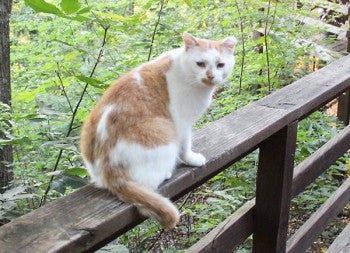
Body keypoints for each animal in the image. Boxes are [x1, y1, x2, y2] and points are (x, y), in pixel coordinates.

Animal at [79, 32, 238, 228]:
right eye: (200, 63)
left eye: (220, 65)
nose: (210, 75)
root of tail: (107, 166)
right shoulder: (182, 123)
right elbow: (185, 146)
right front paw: (192, 159)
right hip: (164, 135)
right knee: (148, 183)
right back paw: (167, 173)